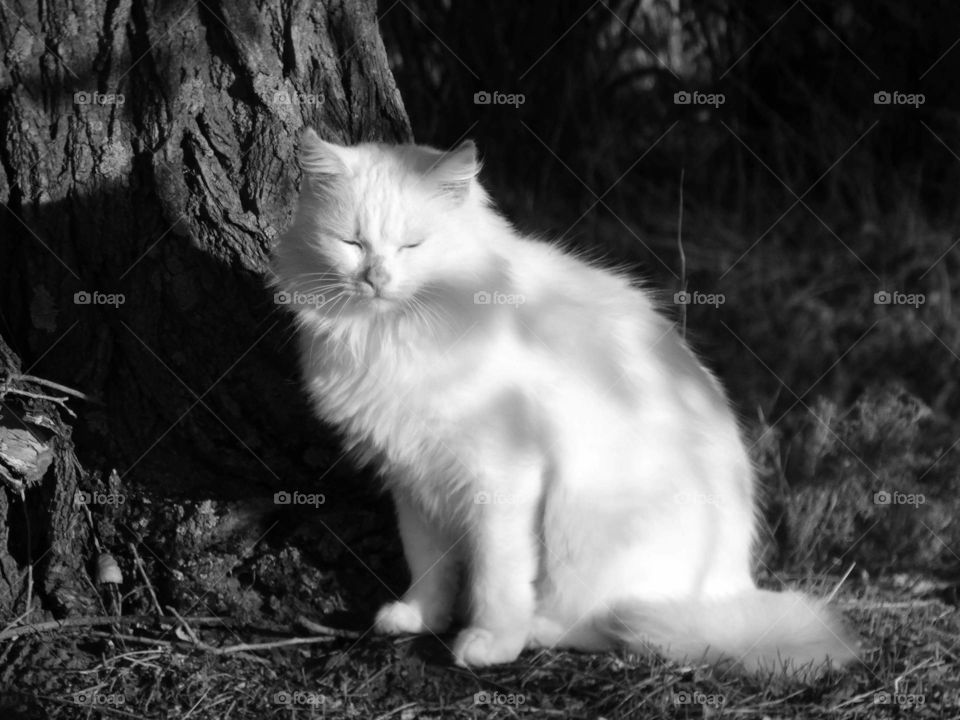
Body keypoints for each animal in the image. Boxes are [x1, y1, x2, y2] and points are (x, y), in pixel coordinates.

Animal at [270, 128, 856, 676]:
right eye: (352, 242)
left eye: (412, 246)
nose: (375, 278)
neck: (390, 335)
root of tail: (732, 585)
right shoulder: (413, 479)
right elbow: (429, 566)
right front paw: (419, 618)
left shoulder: (501, 477)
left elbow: (497, 576)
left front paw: (489, 643)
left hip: (585, 521)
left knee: (609, 626)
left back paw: (536, 631)